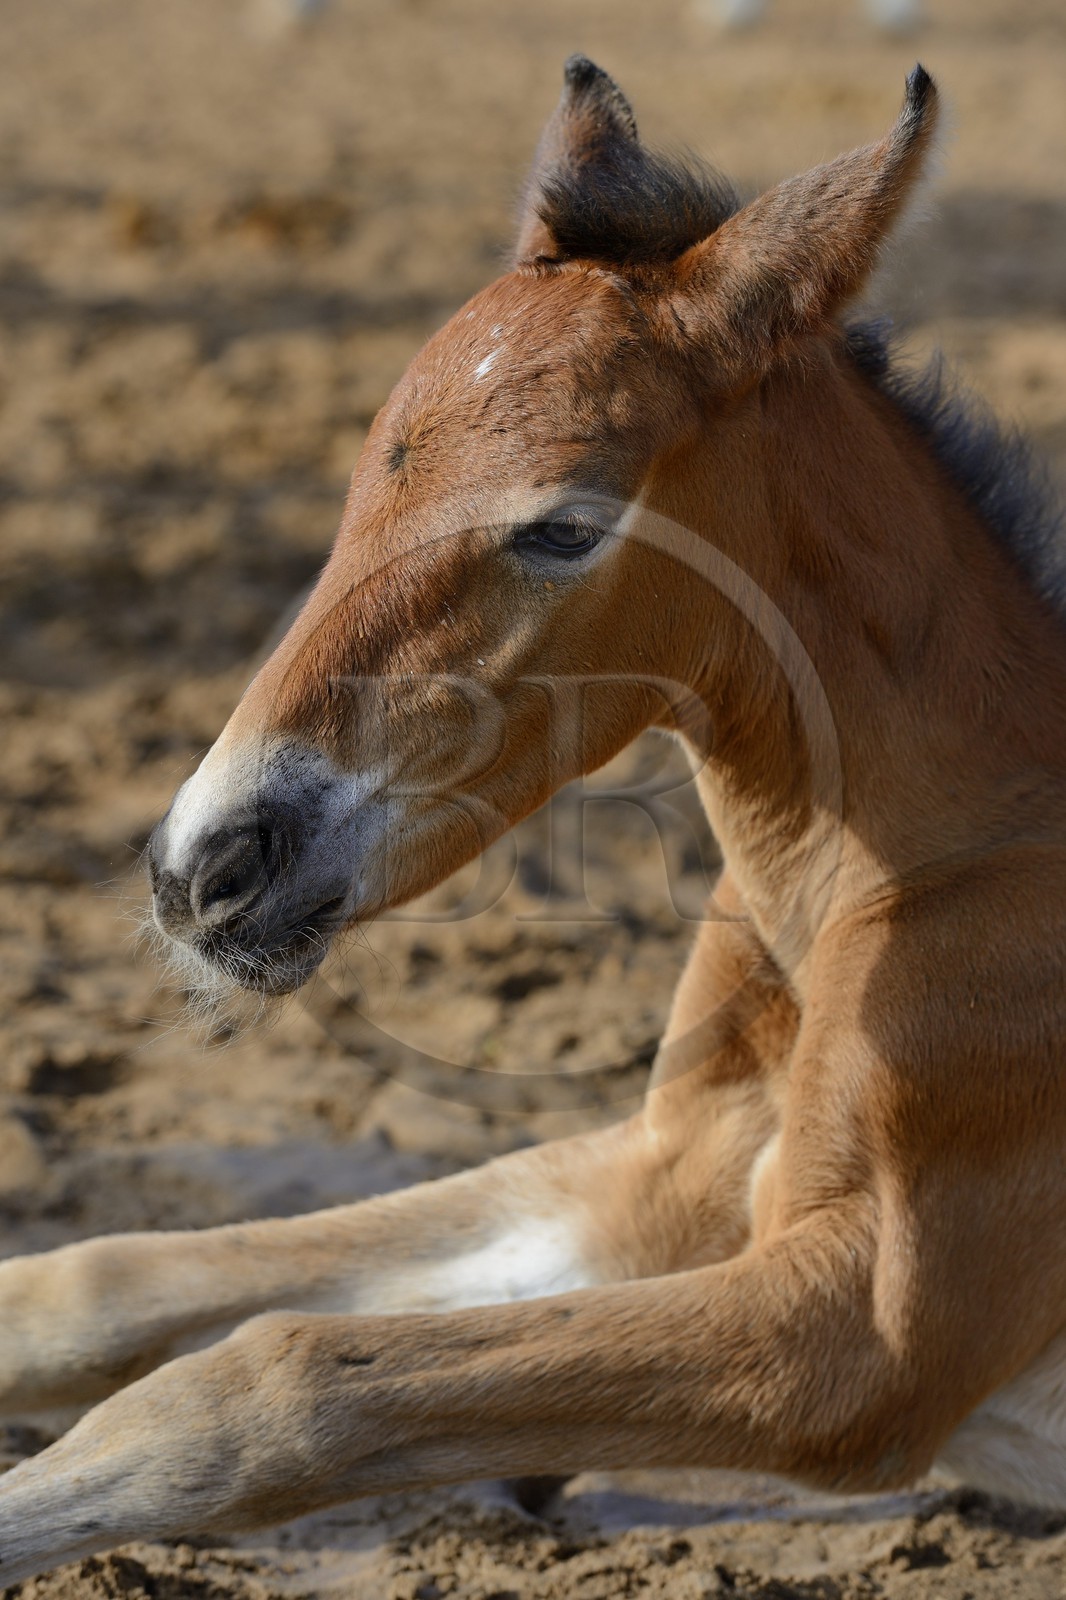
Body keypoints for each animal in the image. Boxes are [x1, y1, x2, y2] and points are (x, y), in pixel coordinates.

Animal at [2, 55, 1066, 1584]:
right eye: (371, 464)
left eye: (563, 523)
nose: (202, 867)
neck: (928, 870)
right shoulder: (657, 1177)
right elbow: (104, 1277)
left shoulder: (853, 1334)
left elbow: (262, 1377)